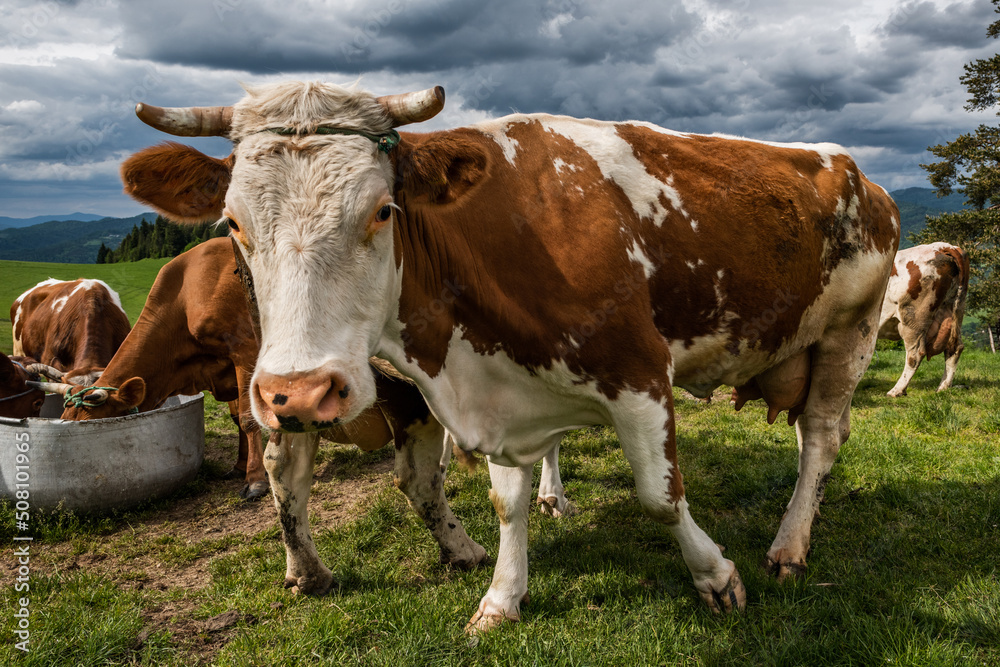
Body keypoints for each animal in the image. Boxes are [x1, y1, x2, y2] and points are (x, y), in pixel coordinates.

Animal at [880, 241, 964, 396]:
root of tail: (944, 246)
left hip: (913, 319)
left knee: (915, 354)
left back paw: (896, 390)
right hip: (956, 311)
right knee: (954, 348)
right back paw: (943, 387)